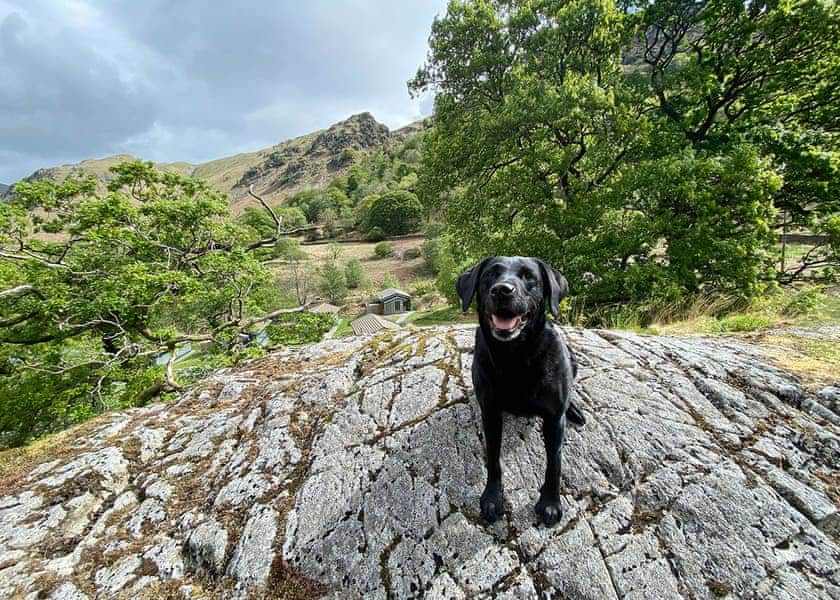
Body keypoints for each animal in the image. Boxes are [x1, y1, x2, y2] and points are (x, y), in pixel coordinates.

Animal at [460, 255, 584, 524]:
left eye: (529, 277)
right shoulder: (491, 415)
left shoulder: (553, 419)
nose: (502, 290)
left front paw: (550, 502)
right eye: (490, 275)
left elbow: (554, 462)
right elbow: (493, 458)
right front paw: (493, 497)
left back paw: (575, 410)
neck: (515, 357)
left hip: (572, 358)